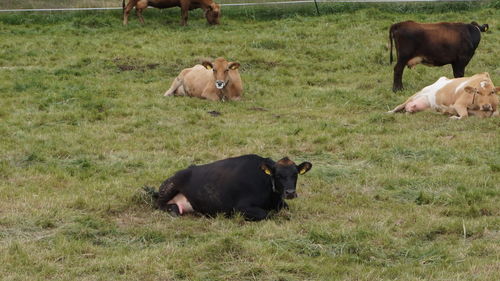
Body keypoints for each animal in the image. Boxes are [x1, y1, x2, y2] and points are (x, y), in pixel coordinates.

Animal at [145, 154, 310, 220]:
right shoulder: (240, 207)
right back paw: (173, 209)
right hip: (171, 185)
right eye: (277, 175)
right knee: (158, 204)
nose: (290, 192)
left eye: (295, 174)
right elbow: (267, 215)